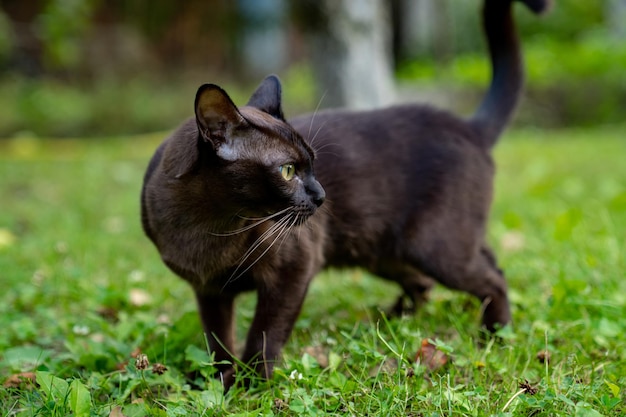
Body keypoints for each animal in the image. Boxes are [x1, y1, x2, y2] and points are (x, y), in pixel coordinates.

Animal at [140, 0, 544, 390]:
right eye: (288, 171)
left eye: (312, 165)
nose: (321, 195)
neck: (212, 228)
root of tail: (467, 126)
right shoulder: (210, 291)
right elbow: (218, 344)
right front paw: (218, 385)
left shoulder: (293, 270)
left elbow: (264, 336)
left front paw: (250, 387)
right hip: (391, 252)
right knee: (458, 271)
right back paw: (388, 324)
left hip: (434, 248)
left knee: (492, 279)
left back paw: (494, 337)